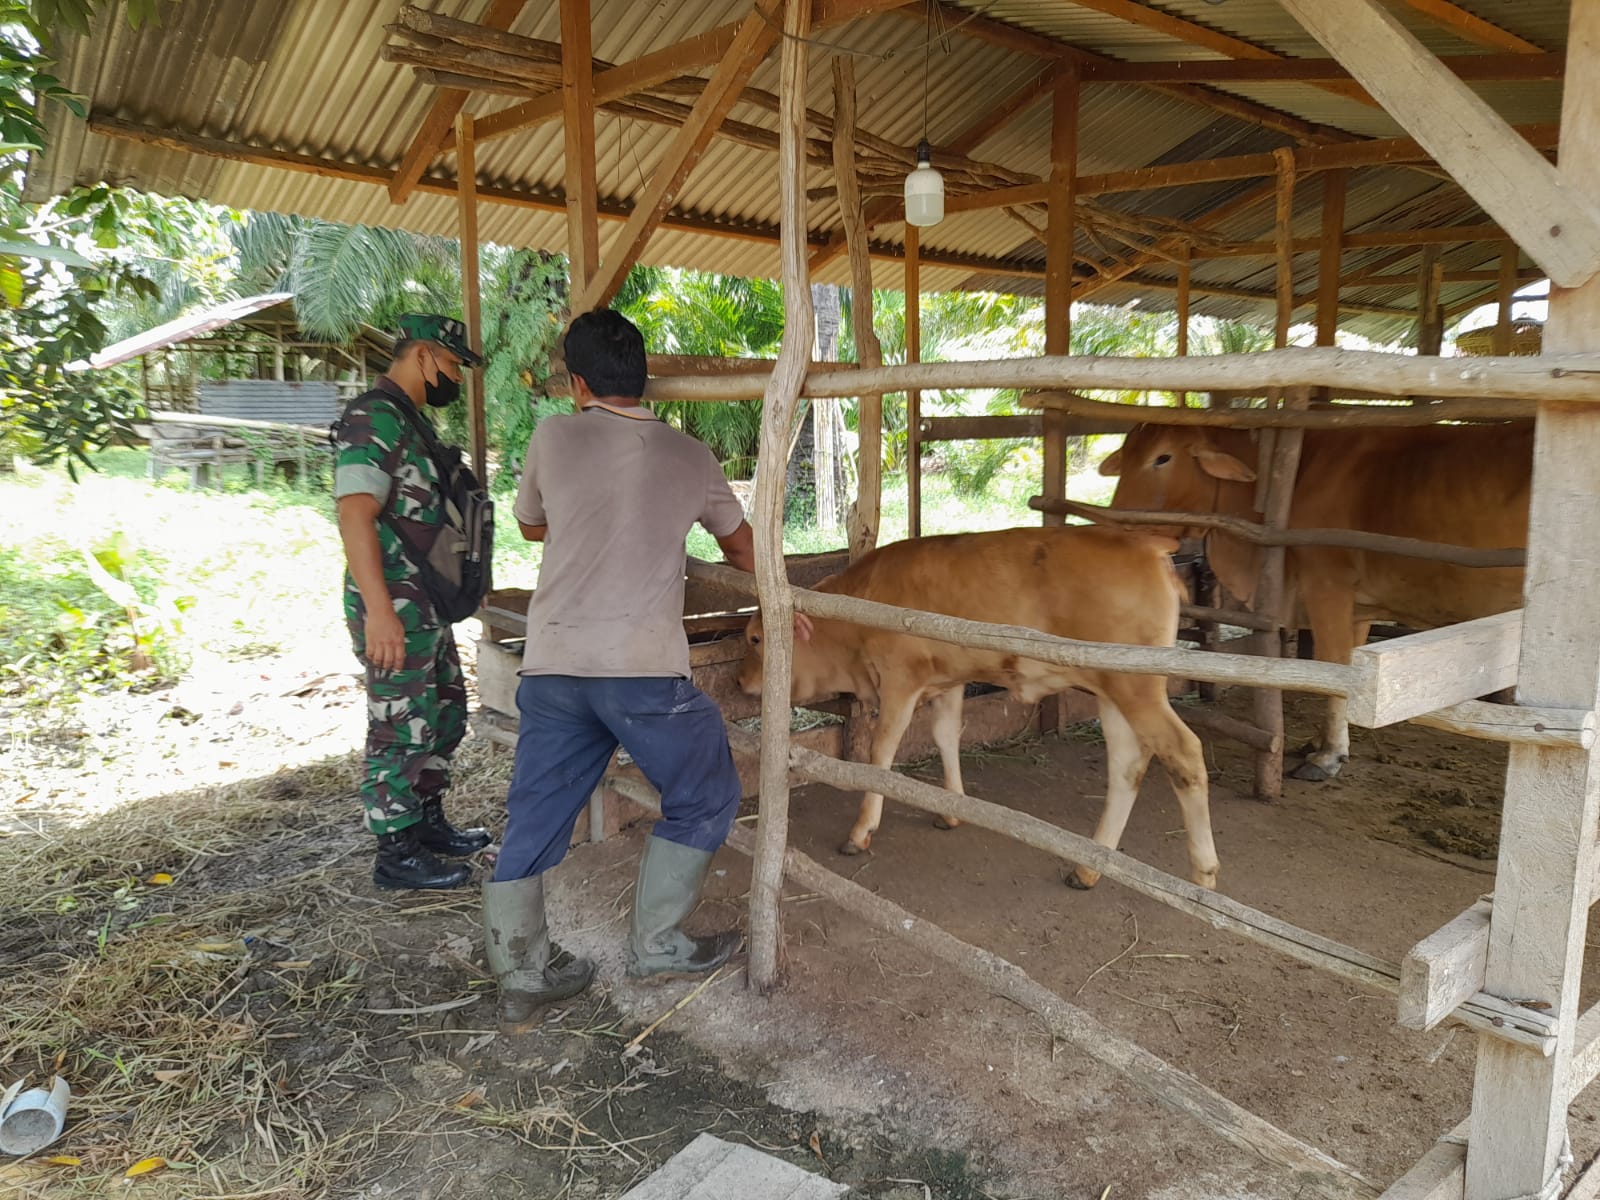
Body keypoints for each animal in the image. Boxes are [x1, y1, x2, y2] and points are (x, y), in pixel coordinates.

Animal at [732, 528, 1209, 896]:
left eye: (756, 638)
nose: (738, 682)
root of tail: (1149, 543)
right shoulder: (948, 681)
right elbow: (946, 735)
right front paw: (951, 809)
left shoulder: (901, 681)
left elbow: (881, 753)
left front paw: (861, 831)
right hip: (1113, 693)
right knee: (1127, 765)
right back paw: (1089, 868)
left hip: (1138, 689)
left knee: (1185, 752)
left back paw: (1202, 877)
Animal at [1094, 422, 1529, 780]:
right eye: (1125, 455)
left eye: (1162, 457)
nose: (1112, 524)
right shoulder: (1357, 607)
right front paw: (1321, 743)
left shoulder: (1327, 587)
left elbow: (1335, 670)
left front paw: (1329, 756)